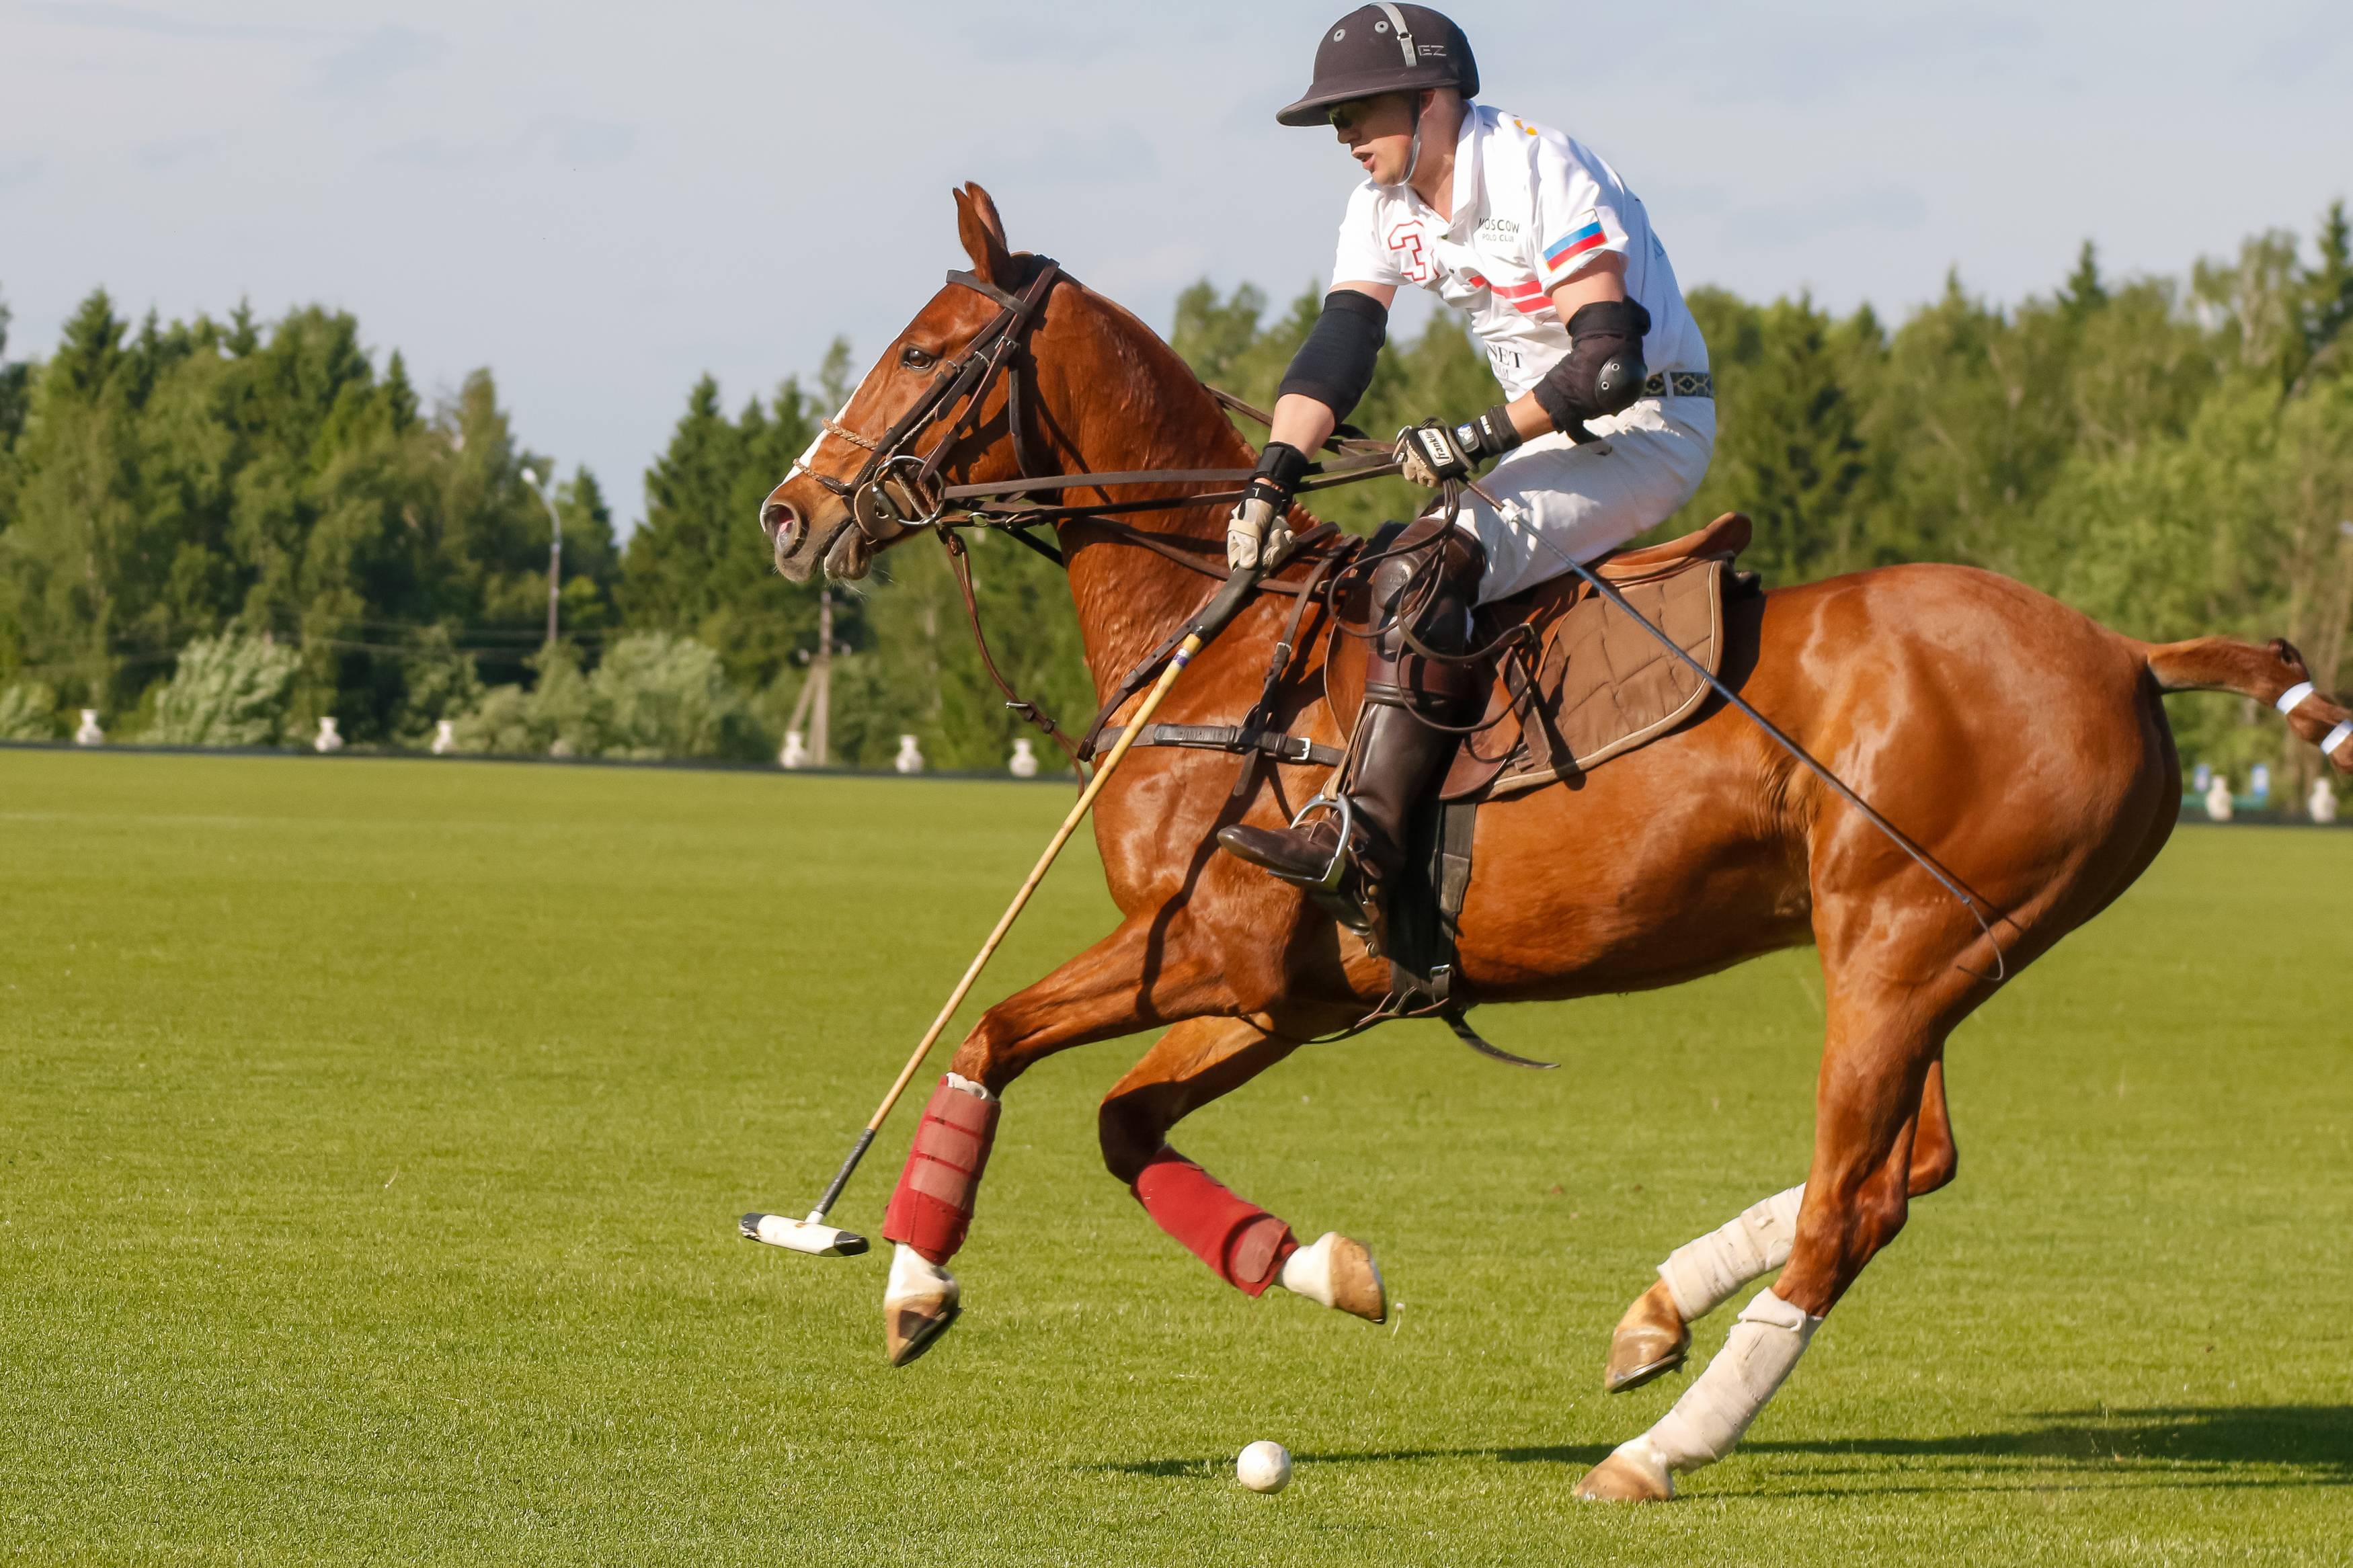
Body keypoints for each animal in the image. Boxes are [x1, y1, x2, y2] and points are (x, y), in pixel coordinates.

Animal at [762, 190, 2344, 1504]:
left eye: (921, 353)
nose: (790, 515)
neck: (1218, 638)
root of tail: (2128, 653)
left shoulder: (1211, 947)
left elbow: (993, 1028)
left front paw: (907, 1281)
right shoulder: (1282, 993)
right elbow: (1118, 1117)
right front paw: (1327, 1269)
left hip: (1900, 949)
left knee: (1852, 1204)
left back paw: (1659, 1449)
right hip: (1928, 945)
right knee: (1913, 1169)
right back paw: (1656, 1315)